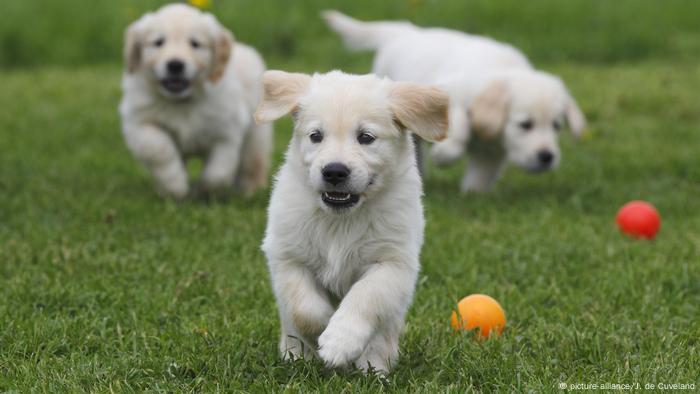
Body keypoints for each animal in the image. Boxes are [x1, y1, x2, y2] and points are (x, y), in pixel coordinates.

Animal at [117, 4, 270, 199]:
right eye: (158, 42)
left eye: (195, 43)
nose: (175, 65)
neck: (183, 101)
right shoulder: (141, 123)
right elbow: (160, 150)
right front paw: (175, 187)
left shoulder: (226, 131)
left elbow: (219, 170)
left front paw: (206, 190)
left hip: (256, 135)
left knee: (253, 162)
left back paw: (251, 190)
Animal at [256, 70, 448, 372]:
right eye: (316, 136)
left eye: (366, 137)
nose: (334, 171)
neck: (341, 219)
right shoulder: (288, 256)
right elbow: (304, 309)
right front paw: (322, 331)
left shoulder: (393, 263)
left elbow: (365, 297)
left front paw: (339, 342)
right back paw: (296, 356)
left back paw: (373, 367)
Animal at [326, 10, 588, 192]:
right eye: (525, 125)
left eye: (556, 126)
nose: (547, 157)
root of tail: (407, 32)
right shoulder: (446, 94)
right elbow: (458, 125)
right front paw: (446, 154)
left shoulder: (491, 154)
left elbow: (481, 175)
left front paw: (473, 194)